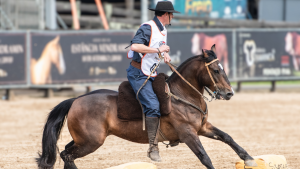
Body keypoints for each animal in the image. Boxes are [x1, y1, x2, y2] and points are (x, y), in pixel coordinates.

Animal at [36, 44, 256, 168]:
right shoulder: (188, 133)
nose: (229, 93)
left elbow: (227, 137)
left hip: (83, 140)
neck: (181, 96)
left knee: (66, 152)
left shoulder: (202, 128)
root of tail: (76, 99)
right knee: (66, 155)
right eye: (216, 70)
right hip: (91, 142)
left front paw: (249, 158)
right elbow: (205, 157)